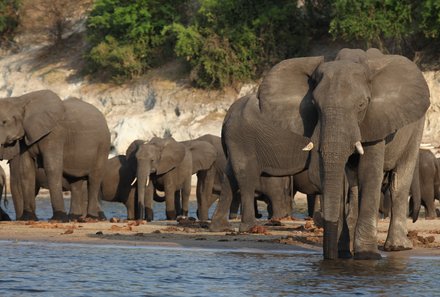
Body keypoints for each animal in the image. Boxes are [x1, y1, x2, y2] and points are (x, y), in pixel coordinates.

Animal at [0, 89, 111, 220]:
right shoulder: (25, 136)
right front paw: (27, 218)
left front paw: (59, 218)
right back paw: (74, 217)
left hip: (103, 146)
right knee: (76, 182)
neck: (21, 100)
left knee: (94, 178)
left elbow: (52, 167)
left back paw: (92, 217)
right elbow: (26, 169)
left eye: (4, 122)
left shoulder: (55, 134)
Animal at [211, 48, 428, 260]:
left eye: (361, 105)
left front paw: (367, 256)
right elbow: (337, 177)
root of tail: (226, 116)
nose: (330, 257)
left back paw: (397, 247)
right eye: (315, 105)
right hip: (241, 138)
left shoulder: (375, 121)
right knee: (243, 175)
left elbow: (368, 172)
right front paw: (344, 253)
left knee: (399, 180)